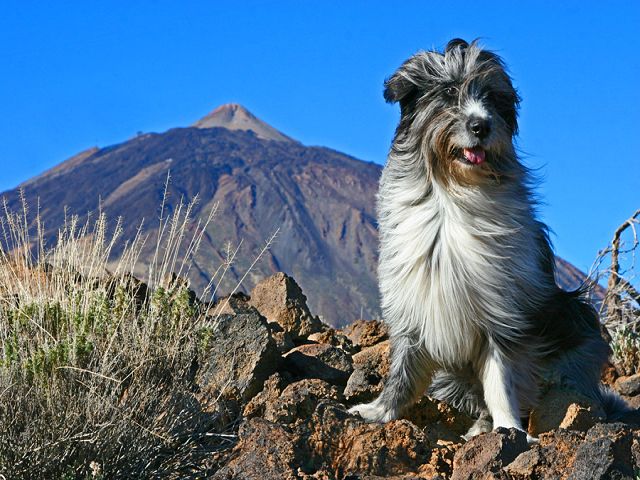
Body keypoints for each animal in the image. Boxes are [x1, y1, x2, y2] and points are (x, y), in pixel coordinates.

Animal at [348, 39, 628, 440]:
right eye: (450, 92)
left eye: (494, 98)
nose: (481, 125)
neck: (454, 191)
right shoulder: (412, 303)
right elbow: (403, 368)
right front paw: (379, 411)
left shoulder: (502, 312)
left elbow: (502, 378)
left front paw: (509, 428)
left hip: (576, 325)